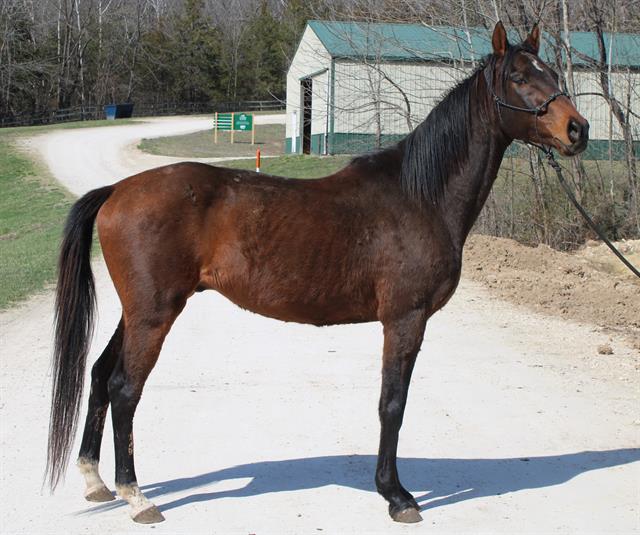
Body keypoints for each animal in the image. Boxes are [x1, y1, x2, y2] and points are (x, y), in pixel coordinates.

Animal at [47, 23, 592, 524]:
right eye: (519, 77)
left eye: (553, 73)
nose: (578, 130)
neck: (420, 195)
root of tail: (117, 190)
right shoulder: (405, 319)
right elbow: (392, 404)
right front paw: (396, 496)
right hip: (154, 314)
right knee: (125, 389)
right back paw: (137, 497)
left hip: (138, 312)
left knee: (100, 375)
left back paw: (96, 482)